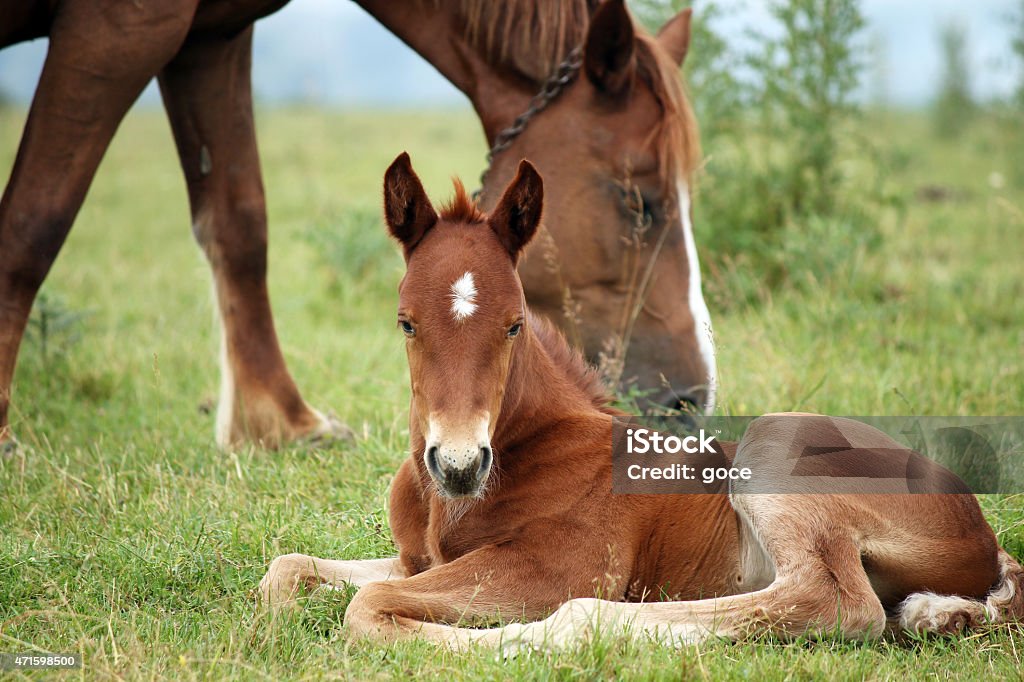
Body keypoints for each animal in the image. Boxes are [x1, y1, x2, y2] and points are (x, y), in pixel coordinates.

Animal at [0, 0, 716, 448]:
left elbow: (239, 222)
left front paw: (280, 422)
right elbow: (34, 223)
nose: (692, 399)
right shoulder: (122, 25)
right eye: (640, 200)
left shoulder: (208, 39)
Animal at [258, 153, 1024, 647]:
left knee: (831, 602)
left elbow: (369, 607)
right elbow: (287, 571)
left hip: (775, 443)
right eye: (406, 322)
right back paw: (937, 616)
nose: (459, 464)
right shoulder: (422, 561)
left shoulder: (547, 568)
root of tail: (981, 533)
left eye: (514, 323)